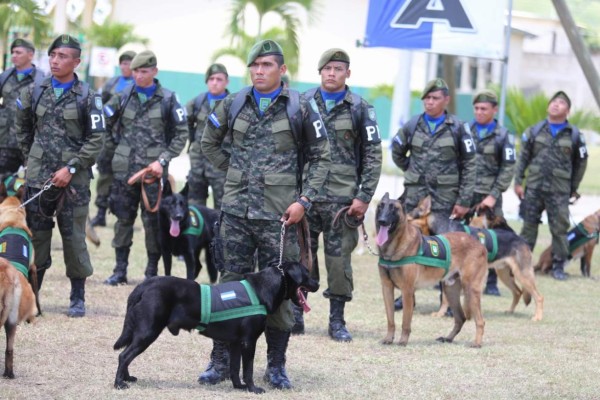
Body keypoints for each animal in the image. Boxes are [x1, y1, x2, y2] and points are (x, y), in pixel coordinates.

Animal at [112, 260, 318, 394]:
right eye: (307, 273)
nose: (318, 283)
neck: (263, 289)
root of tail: (144, 285)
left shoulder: (236, 343)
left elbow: (235, 368)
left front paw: (239, 387)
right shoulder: (248, 342)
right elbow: (248, 370)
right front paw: (253, 389)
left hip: (140, 332)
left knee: (126, 354)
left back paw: (127, 378)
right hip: (148, 332)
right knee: (124, 356)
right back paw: (119, 384)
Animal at [376, 193, 488, 346]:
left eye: (393, 209)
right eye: (380, 206)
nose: (381, 221)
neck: (394, 246)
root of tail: (480, 244)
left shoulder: (407, 291)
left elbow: (406, 321)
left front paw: (403, 341)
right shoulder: (387, 288)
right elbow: (390, 320)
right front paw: (388, 339)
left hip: (470, 289)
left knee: (480, 320)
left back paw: (477, 343)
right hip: (451, 291)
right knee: (460, 318)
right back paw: (448, 338)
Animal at [408, 197, 544, 322]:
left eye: (407, 219)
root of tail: (520, 238)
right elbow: (446, 299)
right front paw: (441, 314)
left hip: (522, 274)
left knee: (538, 297)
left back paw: (537, 317)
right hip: (504, 274)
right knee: (518, 292)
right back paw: (510, 311)